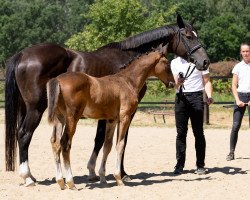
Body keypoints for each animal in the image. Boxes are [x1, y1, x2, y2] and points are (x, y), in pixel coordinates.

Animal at [46, 48, 172, 189]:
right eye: (167, 63)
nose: (172, 83)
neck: (127, 81)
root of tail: (58, 80)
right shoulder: (124, 117)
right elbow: (120, 144)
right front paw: (119, 178)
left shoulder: (111, 120)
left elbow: (107, 146)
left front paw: (103, 178)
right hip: (72, 118)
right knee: (65, 143)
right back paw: (70, 182)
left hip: (60, 119)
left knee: (55, 143)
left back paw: (60, 181)